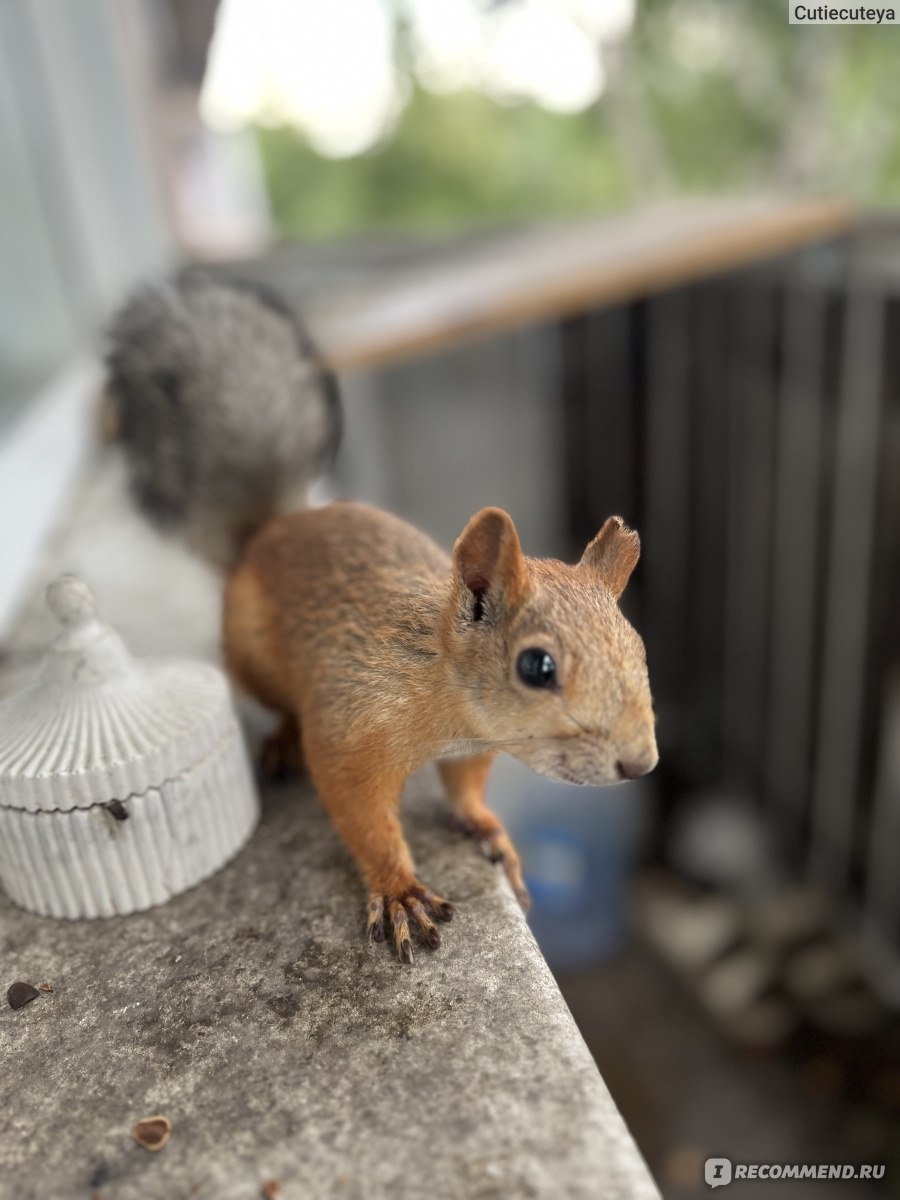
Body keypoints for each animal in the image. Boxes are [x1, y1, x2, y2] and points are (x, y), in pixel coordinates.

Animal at [105, 274, 657, 964]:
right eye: (536, 666)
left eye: (639, 647)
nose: (641, 765)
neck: (442, 693)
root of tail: (267, 534)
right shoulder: (350, 726)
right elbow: (361, 815)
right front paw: (398, 890)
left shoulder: (476, 746)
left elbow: (465, 788)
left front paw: (486, 826)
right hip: (254, 657)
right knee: (282, 708)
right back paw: (282, 738)